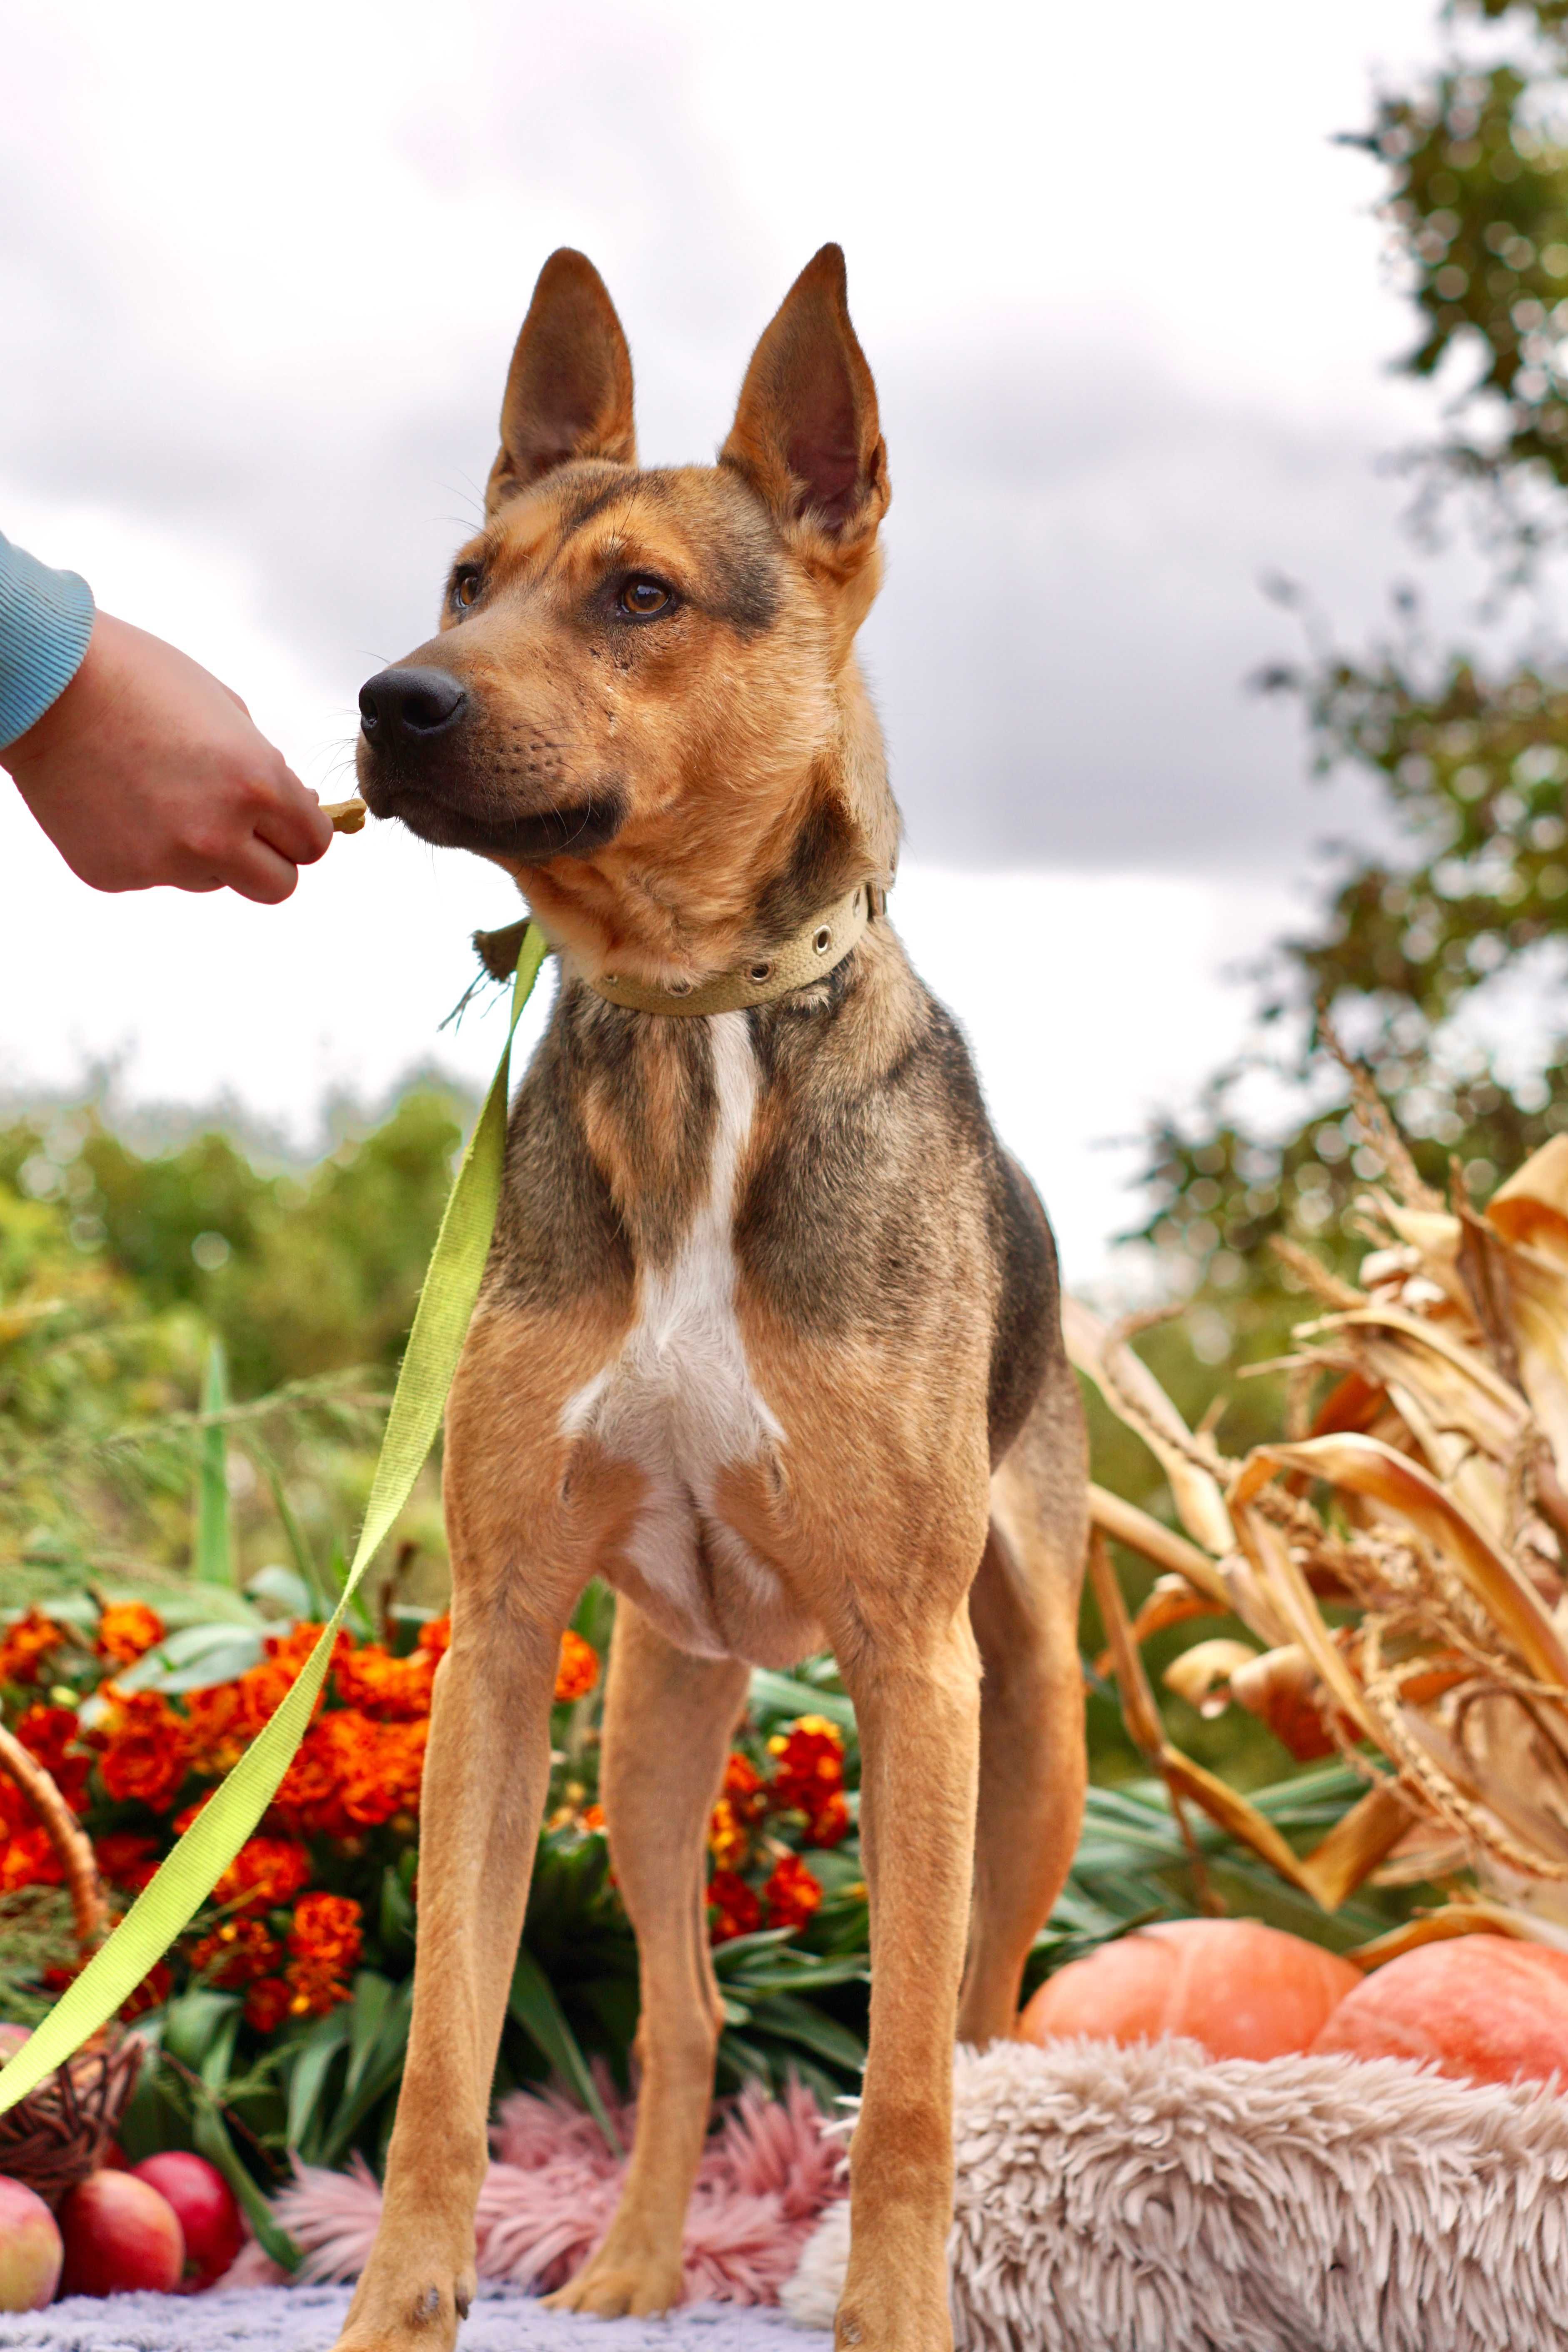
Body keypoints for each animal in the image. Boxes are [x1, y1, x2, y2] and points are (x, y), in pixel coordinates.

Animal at [341, 243, 1091, 2352]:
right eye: (464, 577)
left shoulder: (911, 1667)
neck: (700, 1026)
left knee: (976, 2015)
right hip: (649, 1726)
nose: (390, 700)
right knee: (679, 2011)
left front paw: (897, 2312)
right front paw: (400, 2307)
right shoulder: (502, 1639)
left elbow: (905, 2076)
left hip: (1029, 1732)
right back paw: (634, 2260)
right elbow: (445, 2054)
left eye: (638, 595)